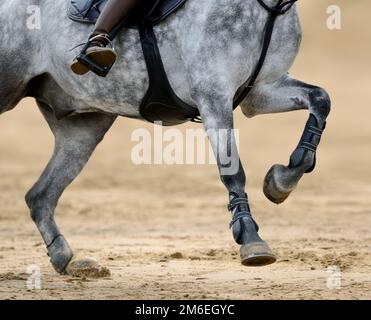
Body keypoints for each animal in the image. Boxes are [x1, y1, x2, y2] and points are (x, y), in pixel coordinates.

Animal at [0, 0, 332, 276]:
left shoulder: (261, 91)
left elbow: (320, 99)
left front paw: (281, 181)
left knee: (40, 196)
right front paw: (250, 237)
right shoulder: (213, 94)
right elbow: (232, 171)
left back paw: (65, 258)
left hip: (84, 126)